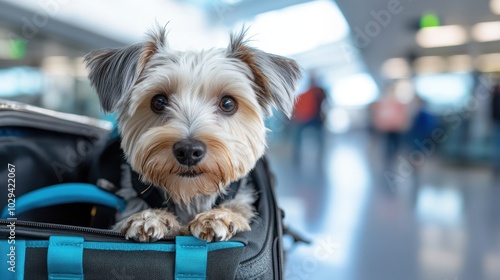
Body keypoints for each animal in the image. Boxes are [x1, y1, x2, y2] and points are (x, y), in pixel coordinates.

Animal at [85, 25, 300, 242]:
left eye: (228, 103)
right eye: (158, 101)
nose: (189, 151)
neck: (190, 195)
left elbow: (239, 209)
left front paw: (221, 216)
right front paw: (150, 217)